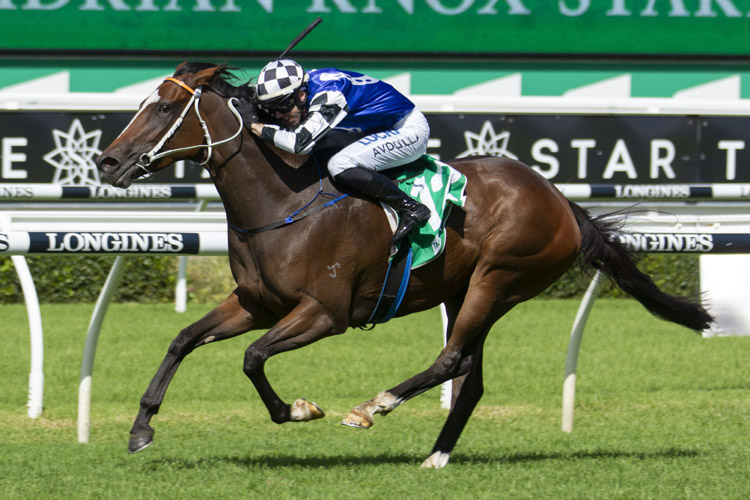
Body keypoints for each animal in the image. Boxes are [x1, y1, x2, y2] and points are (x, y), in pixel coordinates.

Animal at [97, 63, 712, 468]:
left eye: (165, 108)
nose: (107, 160)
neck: (283, 204)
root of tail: (562, 202)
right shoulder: (255, 303)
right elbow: (183, 339)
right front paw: (141, 429)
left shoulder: (325, 314)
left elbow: (252, 358)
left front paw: (300, 410)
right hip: (465, 291)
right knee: (470, 376)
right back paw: (436, 457)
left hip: (500, 280)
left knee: (451, 359)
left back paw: (375, 406)